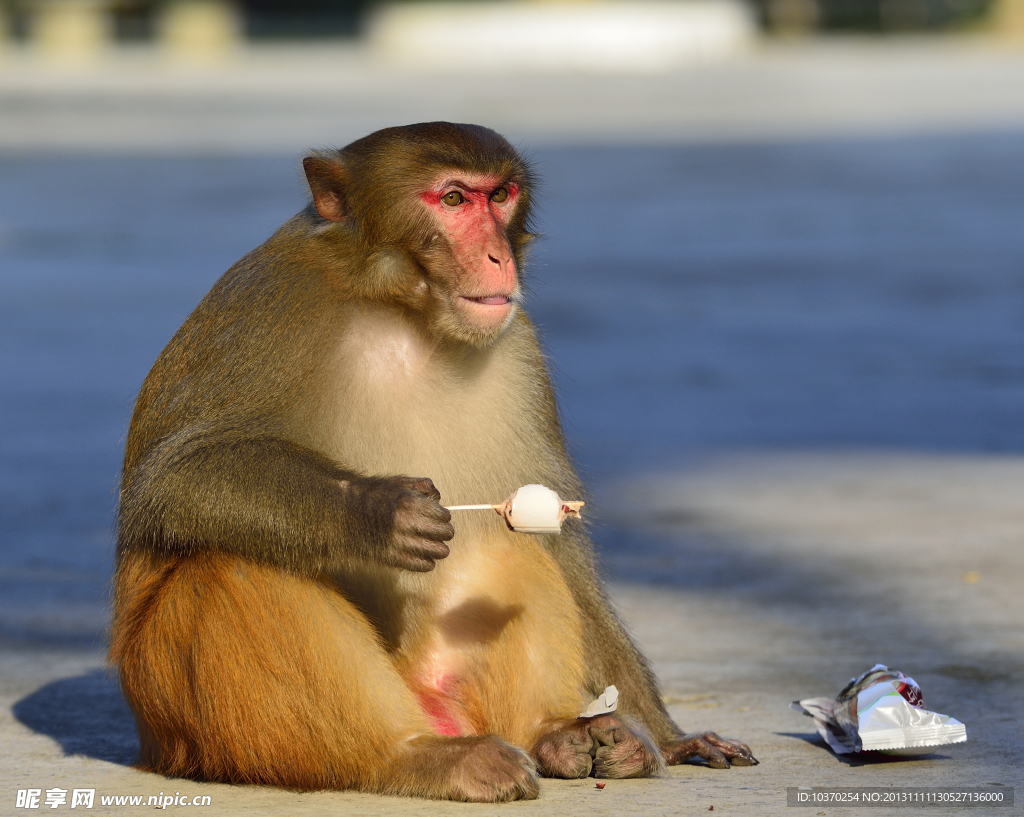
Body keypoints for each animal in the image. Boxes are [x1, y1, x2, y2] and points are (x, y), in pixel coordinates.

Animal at [108, 123, 757, 806]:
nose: (497, 256)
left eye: (499, 196)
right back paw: (413, 757)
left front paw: (670, 734)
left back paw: (555, 735)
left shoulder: (518, 346)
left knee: (512, 545)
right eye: (451, 200)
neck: (404, 313)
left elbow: (560, 543)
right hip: (195, 723)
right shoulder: (273, 306)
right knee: (229, 564)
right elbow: (172, 482)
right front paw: (376, 512)